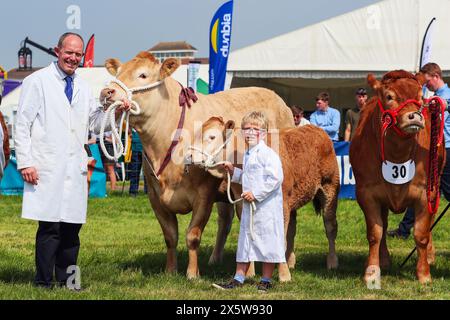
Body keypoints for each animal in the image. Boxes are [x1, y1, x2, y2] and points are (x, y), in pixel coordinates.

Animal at [100, 51, 294, 278]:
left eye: (143, 75)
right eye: (118, 73)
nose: (106, 92)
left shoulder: (204, 194)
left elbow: (193, 235)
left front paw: (192, 273)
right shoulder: (155, 197)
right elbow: (170, 236)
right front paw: (170, 270)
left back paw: (284, 263)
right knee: (226, 221)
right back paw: (216, 259)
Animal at [188, 117, 340, 280]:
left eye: (211, 137)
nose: (189, 156)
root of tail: (316, 129)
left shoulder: (282, 205)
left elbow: (280, 241)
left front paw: (284, 275)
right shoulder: (243, 203)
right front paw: (249, 272)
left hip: (330, 188)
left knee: (330, 226)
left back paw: (332, 262)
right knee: (292, 229)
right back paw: (290, 261)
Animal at [350, 70, 444, 288]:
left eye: (420, 97)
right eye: (389, 96)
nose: (415, 116)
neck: (398, 154)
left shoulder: (426, 192)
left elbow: (421, 234)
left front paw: (424, 274)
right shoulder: (367, 193)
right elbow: (375, 233)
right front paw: (371, 272)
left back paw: (430, 256)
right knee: (383, 225)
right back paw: (383, 260)